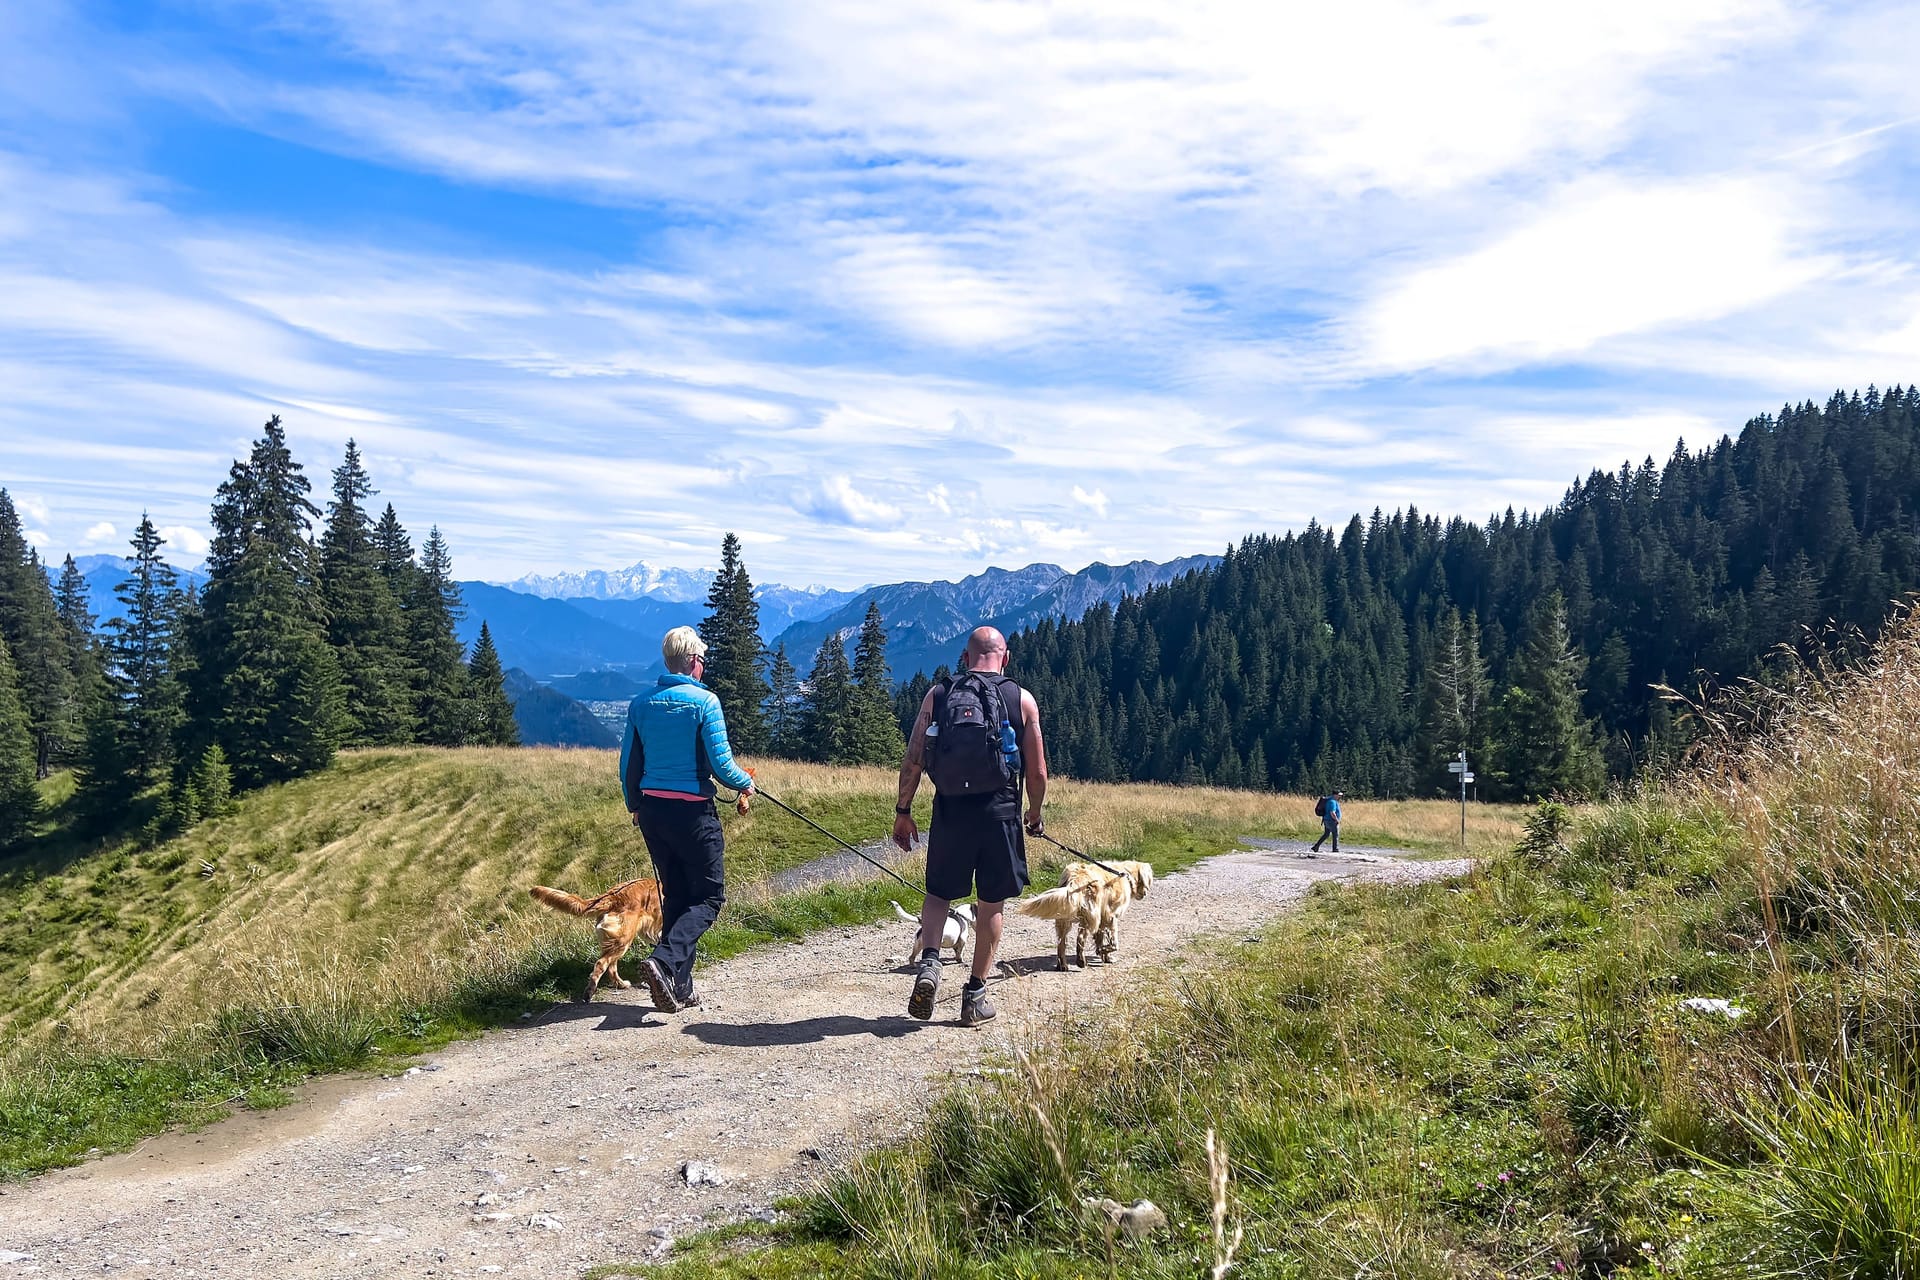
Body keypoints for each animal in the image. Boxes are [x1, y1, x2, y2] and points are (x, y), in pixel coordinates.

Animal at [529, 882, 664, 997]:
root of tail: (613, 895)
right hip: (624, 940)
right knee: (602, 963)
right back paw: (590, 991)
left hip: (616, 941)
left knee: (611, 966)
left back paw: (620, 984)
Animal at [1013, 859, 1144, 971]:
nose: (1144, 894)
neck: (1125, 874)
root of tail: (1076, 877)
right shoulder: (1110, 917)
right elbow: (1113, 943)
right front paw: (1104, 952)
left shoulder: (1103, 920)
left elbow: (1101, 939)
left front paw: (1104, 954)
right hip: (1090, 918)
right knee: (1080, 939)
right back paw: (1081, 961)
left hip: (1065, 918)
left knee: (1061, 943)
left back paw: (1063, 965)